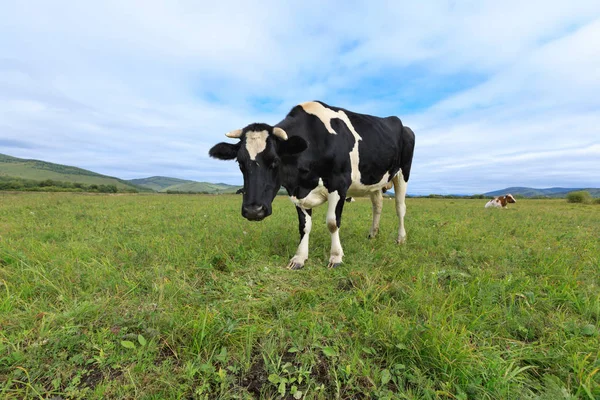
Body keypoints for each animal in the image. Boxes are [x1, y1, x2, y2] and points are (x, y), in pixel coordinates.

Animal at [209, 100, 414, 268]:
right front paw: (299, 258)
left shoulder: (339, 183)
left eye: (274, 161)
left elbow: (332, 222)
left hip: (403, 173)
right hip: (375, 181)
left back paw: (401, 239)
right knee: (377, 205)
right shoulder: (297, 191)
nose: (253, 211)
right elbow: (304, 226)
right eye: (240, 163)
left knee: (400, 208)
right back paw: (373, 235)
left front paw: (336, 257)